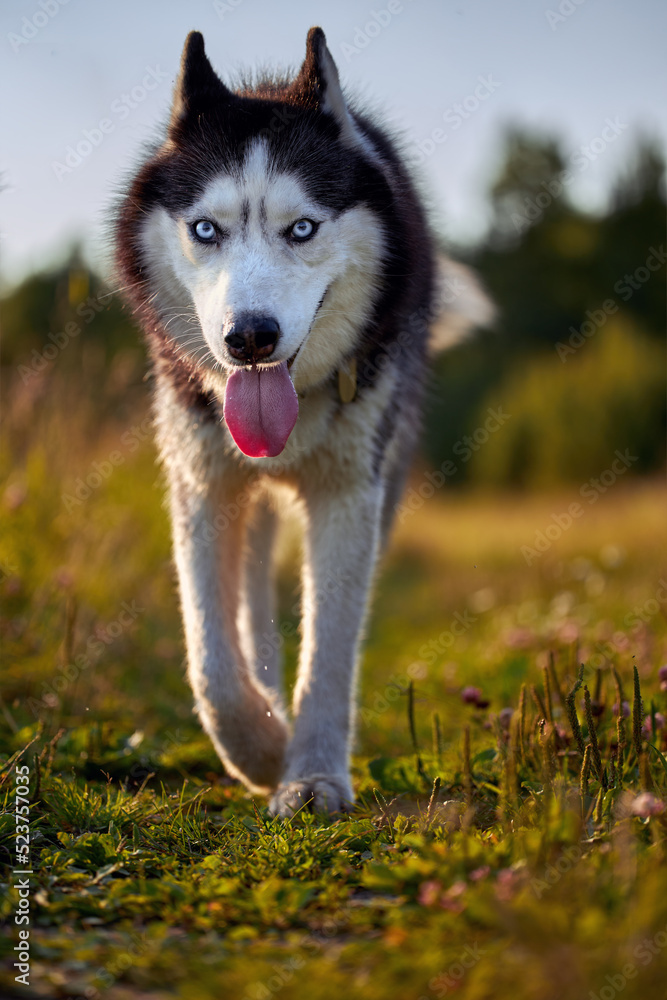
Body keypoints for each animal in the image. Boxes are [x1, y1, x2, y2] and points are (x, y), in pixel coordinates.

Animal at [117, 27, 478, 816]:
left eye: (302, 228)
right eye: (206, 229)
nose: (249, 338)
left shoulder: (350, 498)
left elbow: (332, 649)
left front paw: (310, 774)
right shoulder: (201, 486)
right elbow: (210, 659)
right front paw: (259, 748)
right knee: (247, 602)